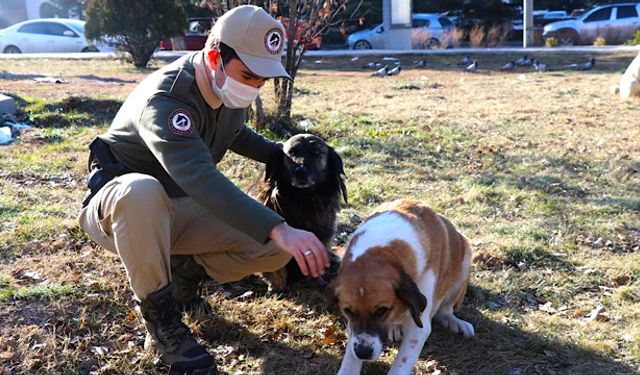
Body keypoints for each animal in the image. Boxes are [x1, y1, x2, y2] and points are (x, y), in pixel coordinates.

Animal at [258, 134, 348, 292]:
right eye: (291, 152)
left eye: (316, 152)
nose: (300, 172)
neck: (303, 198)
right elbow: (275, 270)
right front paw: (276, 286)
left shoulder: (322, 236)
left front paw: (317, 282)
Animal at [328, 201, 472, 374]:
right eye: (348, 311)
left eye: (381, 310)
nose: (363, 352)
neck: (382, 251)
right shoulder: (353, 328)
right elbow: (350, 358)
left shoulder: (418, 328)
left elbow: (400, 365)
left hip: (465, 263)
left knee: (445, 311)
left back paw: (455, 322)